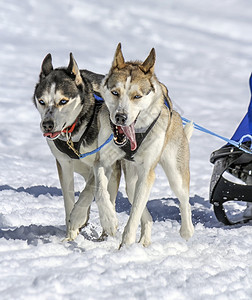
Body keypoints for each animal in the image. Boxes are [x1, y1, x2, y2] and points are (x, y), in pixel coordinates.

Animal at [33, 52, 120, 238]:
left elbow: (95, 190)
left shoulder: (103, 161)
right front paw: (70, 236)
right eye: (42, 101)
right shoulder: (64, 164)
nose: (47, 125)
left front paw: (106, 219)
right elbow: (69, 199)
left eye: (63, 101)